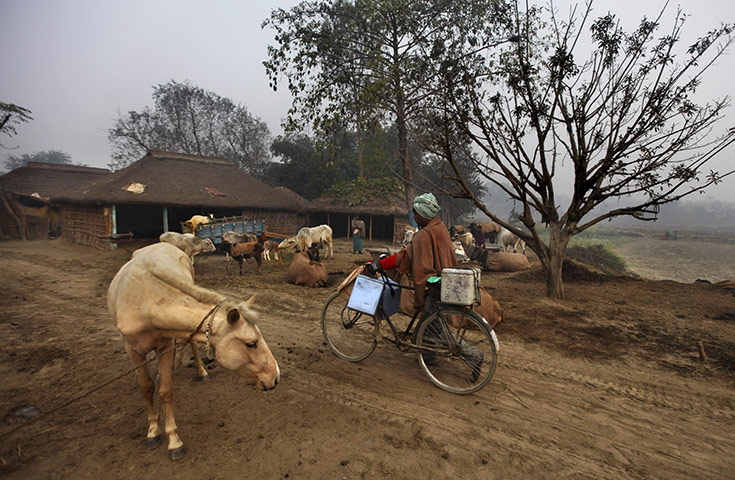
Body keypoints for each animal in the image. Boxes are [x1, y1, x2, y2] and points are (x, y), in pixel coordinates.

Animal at [108, 244, 280, 462]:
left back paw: (201, 372)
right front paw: (153, 431)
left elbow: (165, 391)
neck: (144, 300)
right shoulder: (133, 350)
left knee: (191, 344)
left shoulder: (164, 347)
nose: (276, 376)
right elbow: (147, 388)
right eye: (251, 343)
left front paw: (174, 441)